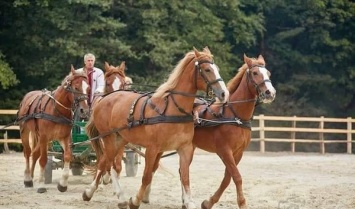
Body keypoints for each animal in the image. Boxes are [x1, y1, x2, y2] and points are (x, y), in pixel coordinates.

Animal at [84, 47, 228, 209]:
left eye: (217, 69)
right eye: (207, 69)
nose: (224, 93)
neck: (173, 109)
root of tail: (104, 99)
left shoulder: (185, 148)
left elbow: (185, 176)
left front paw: (189, 202)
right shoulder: (152, 149)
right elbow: (146, 176)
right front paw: (135, 200)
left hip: (120, 140)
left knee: (108, 164)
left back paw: (114, 196)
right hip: (108, 138)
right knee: (105, 163)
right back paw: (92, 192)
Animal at [140, 54, 276, 209]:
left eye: (268, 73)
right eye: (255, 73)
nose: (270, 93)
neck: (235, 115)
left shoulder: (238, 153)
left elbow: (227, 179)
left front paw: (208, 202)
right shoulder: (224, 151)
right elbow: (237, 177)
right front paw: (241, 203)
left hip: (189, 147)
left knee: (181, 171)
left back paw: (183, 201)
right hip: (162, 146)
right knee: (154, 167)